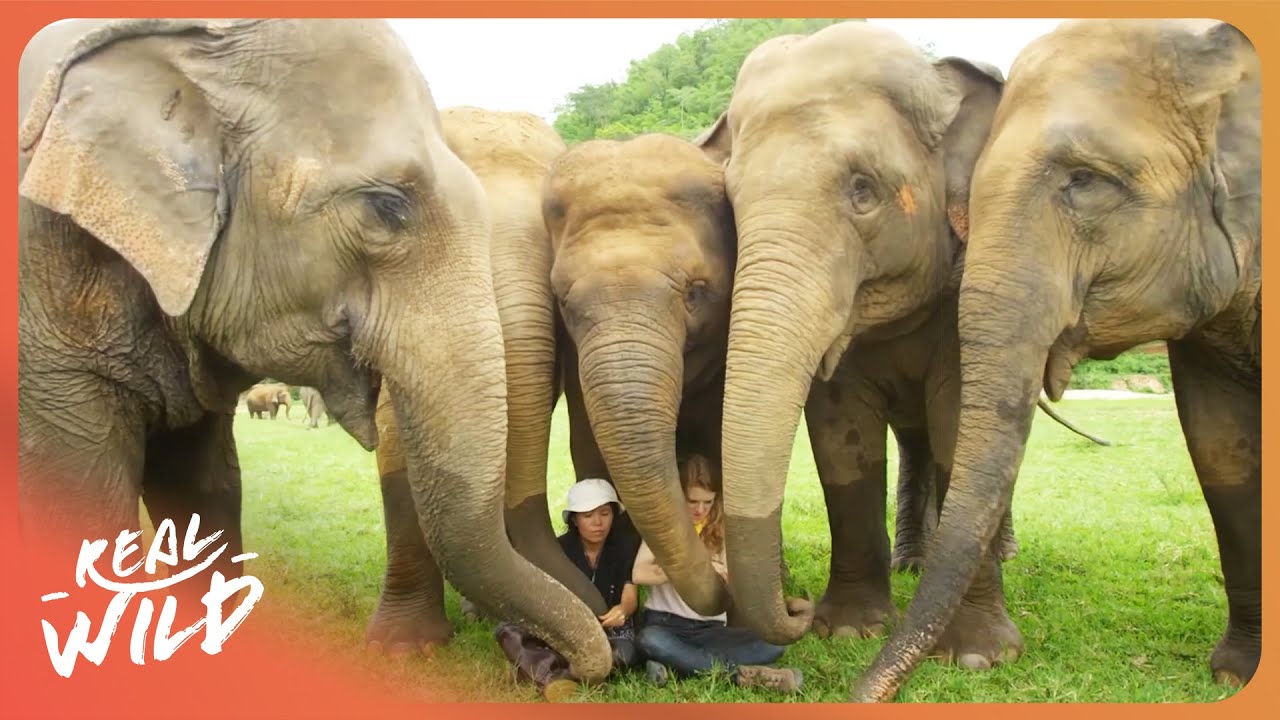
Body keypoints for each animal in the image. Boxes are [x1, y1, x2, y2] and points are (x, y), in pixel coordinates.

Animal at [694, 20, 1106, 644]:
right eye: (732, 204)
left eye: (862, 190)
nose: (797, 606)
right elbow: (842, 435)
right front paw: (850, 631)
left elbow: (961, 419)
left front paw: (977, 651)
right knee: (916, 439)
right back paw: (913, 562)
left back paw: (998, 552)